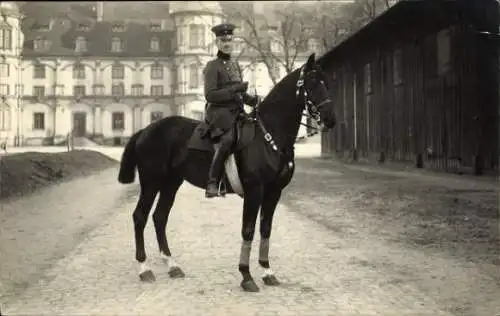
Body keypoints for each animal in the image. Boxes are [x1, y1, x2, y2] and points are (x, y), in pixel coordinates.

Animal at [117, 53, 336, 292]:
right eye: (312, 83)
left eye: (327, 82)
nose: (330, 119)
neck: (269, 137)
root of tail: (146, 130)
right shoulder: (254, 191)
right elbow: (248, 230)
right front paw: (246, 276)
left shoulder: (274, 192)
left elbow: (265, 229)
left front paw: (267, 271)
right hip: (151, 182)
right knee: (140, 216)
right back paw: (144, 268)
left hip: (171, 183)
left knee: (159, 217)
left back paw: (172, 265)